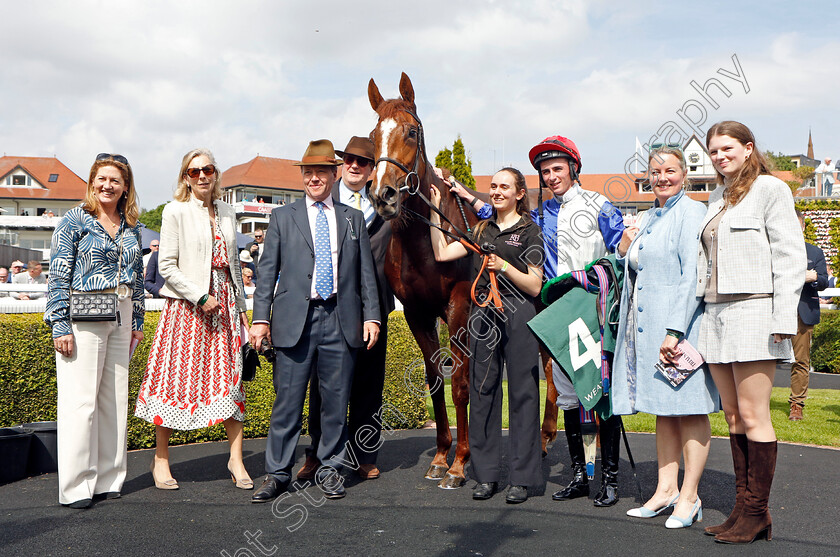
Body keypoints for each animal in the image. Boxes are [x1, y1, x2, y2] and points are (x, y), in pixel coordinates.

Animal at [366, 74, 556, 486]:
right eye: (373, 136)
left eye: (411, 131)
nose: (382, 194)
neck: (425, 242)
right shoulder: (417, 313)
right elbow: (435, 380)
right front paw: (440, 456)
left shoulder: (461, 308)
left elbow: (460, 384)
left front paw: (459, 463)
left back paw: (549, 434)